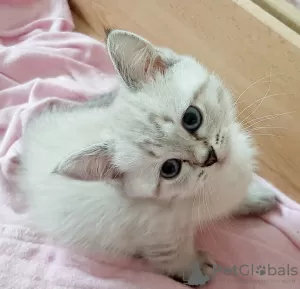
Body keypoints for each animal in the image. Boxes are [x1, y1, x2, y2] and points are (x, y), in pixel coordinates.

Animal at [18, 29, 276, 282]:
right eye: (170, 168)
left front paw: (256, 196)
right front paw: (196, 271)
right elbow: (175, 258)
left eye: (191, 119)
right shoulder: (157, 236)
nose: (209, 157)